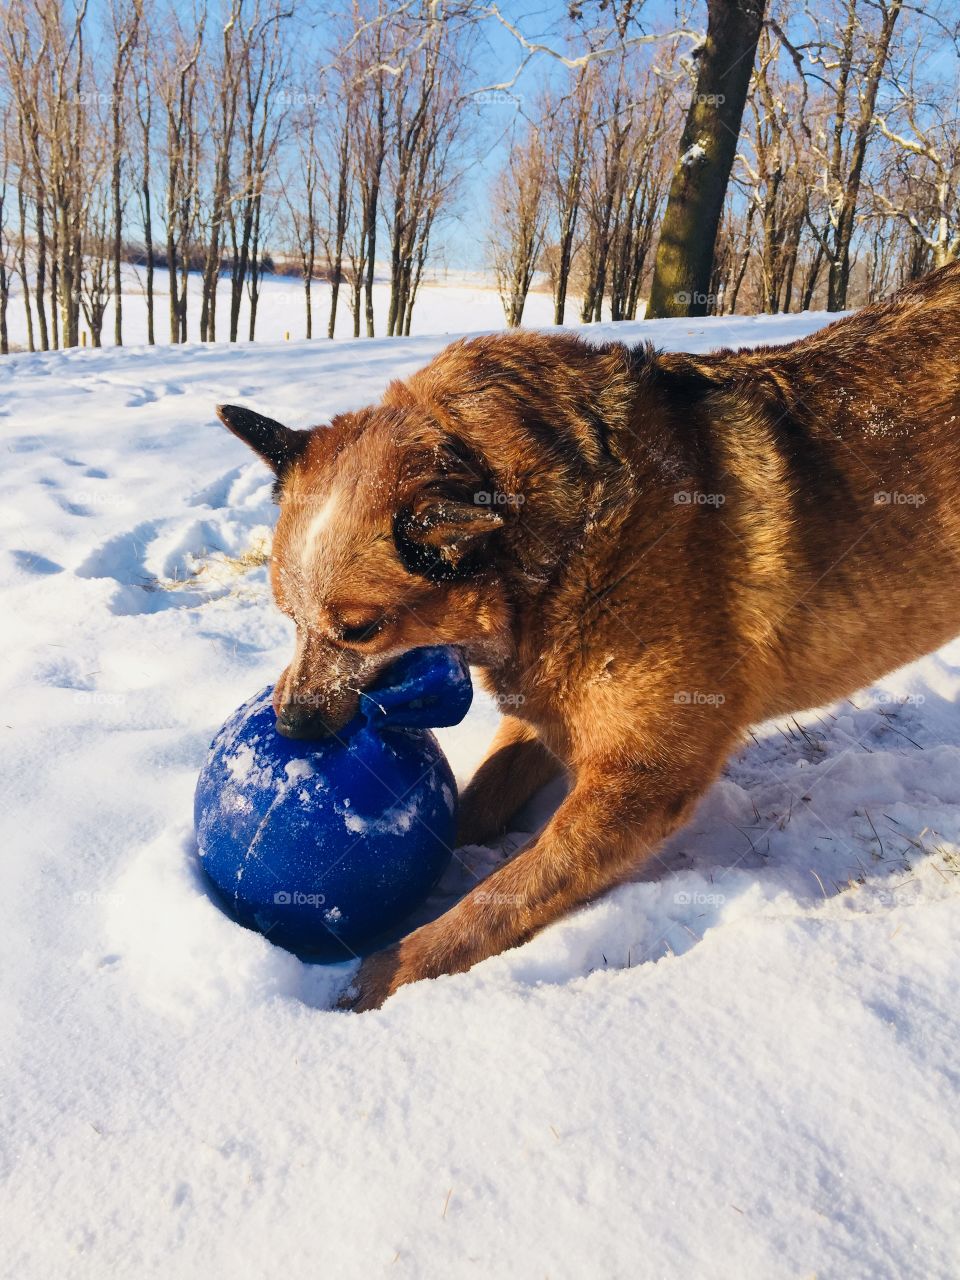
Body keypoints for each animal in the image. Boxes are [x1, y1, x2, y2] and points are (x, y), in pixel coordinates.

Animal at [216, 262, 960, 1008]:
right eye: (285, 615)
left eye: (362, 630)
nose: (291, 725)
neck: (562, 545)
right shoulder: (547, 709)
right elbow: (471, 807)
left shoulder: (643, 776)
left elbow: (508, 892)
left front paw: (388, 971)